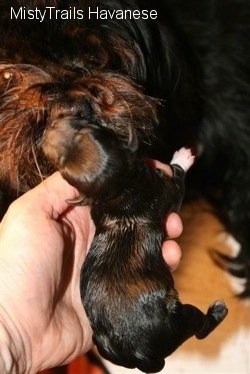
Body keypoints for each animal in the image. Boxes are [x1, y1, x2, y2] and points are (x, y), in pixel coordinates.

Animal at [42, 83, 229, 372]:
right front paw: (182, 158)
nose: (50, 128)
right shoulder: (164, 190)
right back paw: (218, 311)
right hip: (179, 319)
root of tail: (142, 355)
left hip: (101, 341)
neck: (119, 190)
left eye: (83, 126)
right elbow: (177, 182)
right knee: (198, 326)